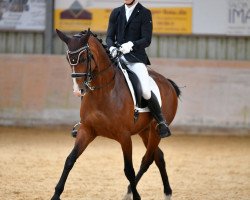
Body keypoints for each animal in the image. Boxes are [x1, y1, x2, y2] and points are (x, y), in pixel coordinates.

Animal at [51, 28, 180, 200]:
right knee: (158, 157)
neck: (103, 92)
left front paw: (137, 197)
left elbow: (129, 170)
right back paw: (163, 192)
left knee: (147, 159)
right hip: (145, 131)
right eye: (68, 59)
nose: (78, 91)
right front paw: (56, 194)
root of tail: (167, 82)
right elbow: (70, 160)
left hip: (155, 131)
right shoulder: (87, 130)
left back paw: (135, 191)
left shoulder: (124, 136)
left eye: (84, 57)